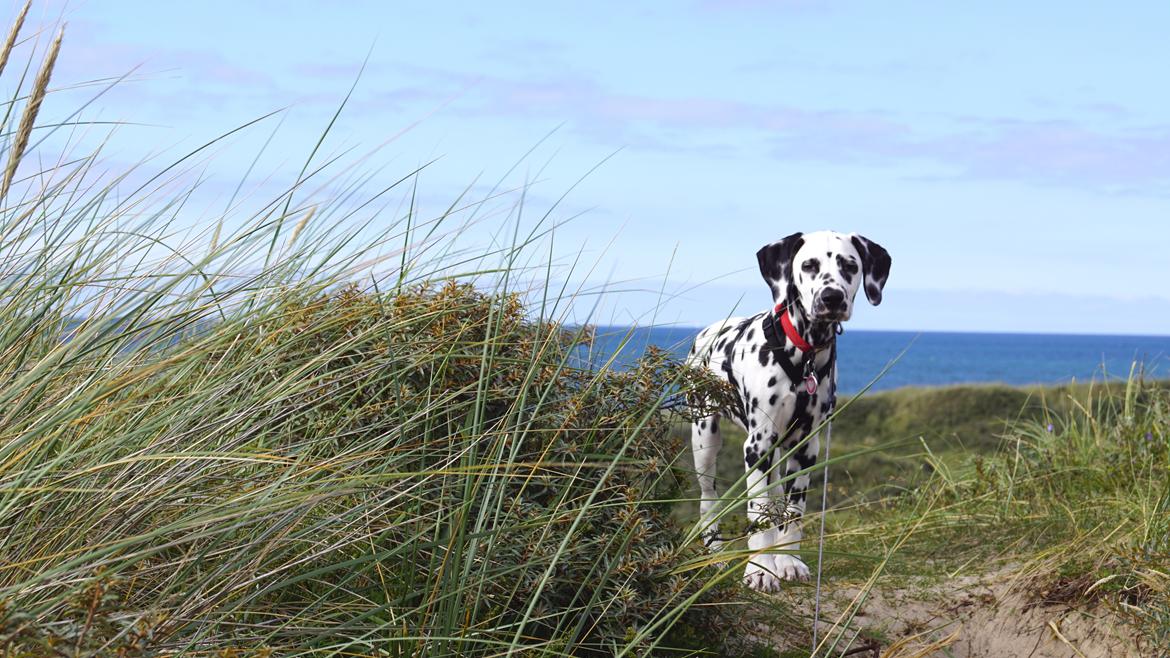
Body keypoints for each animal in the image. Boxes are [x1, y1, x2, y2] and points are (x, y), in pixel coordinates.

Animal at [683, 230, 884, 590]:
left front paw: (788, 561)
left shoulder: (806, 448)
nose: (832, 297)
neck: (805, 355)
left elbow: (792, 511)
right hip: (705, 441)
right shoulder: (757, 446)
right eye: (809, 265)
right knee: (709, 500)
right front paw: (759, 570)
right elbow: (759, 511)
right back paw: (715, 553)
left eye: (850, 266)